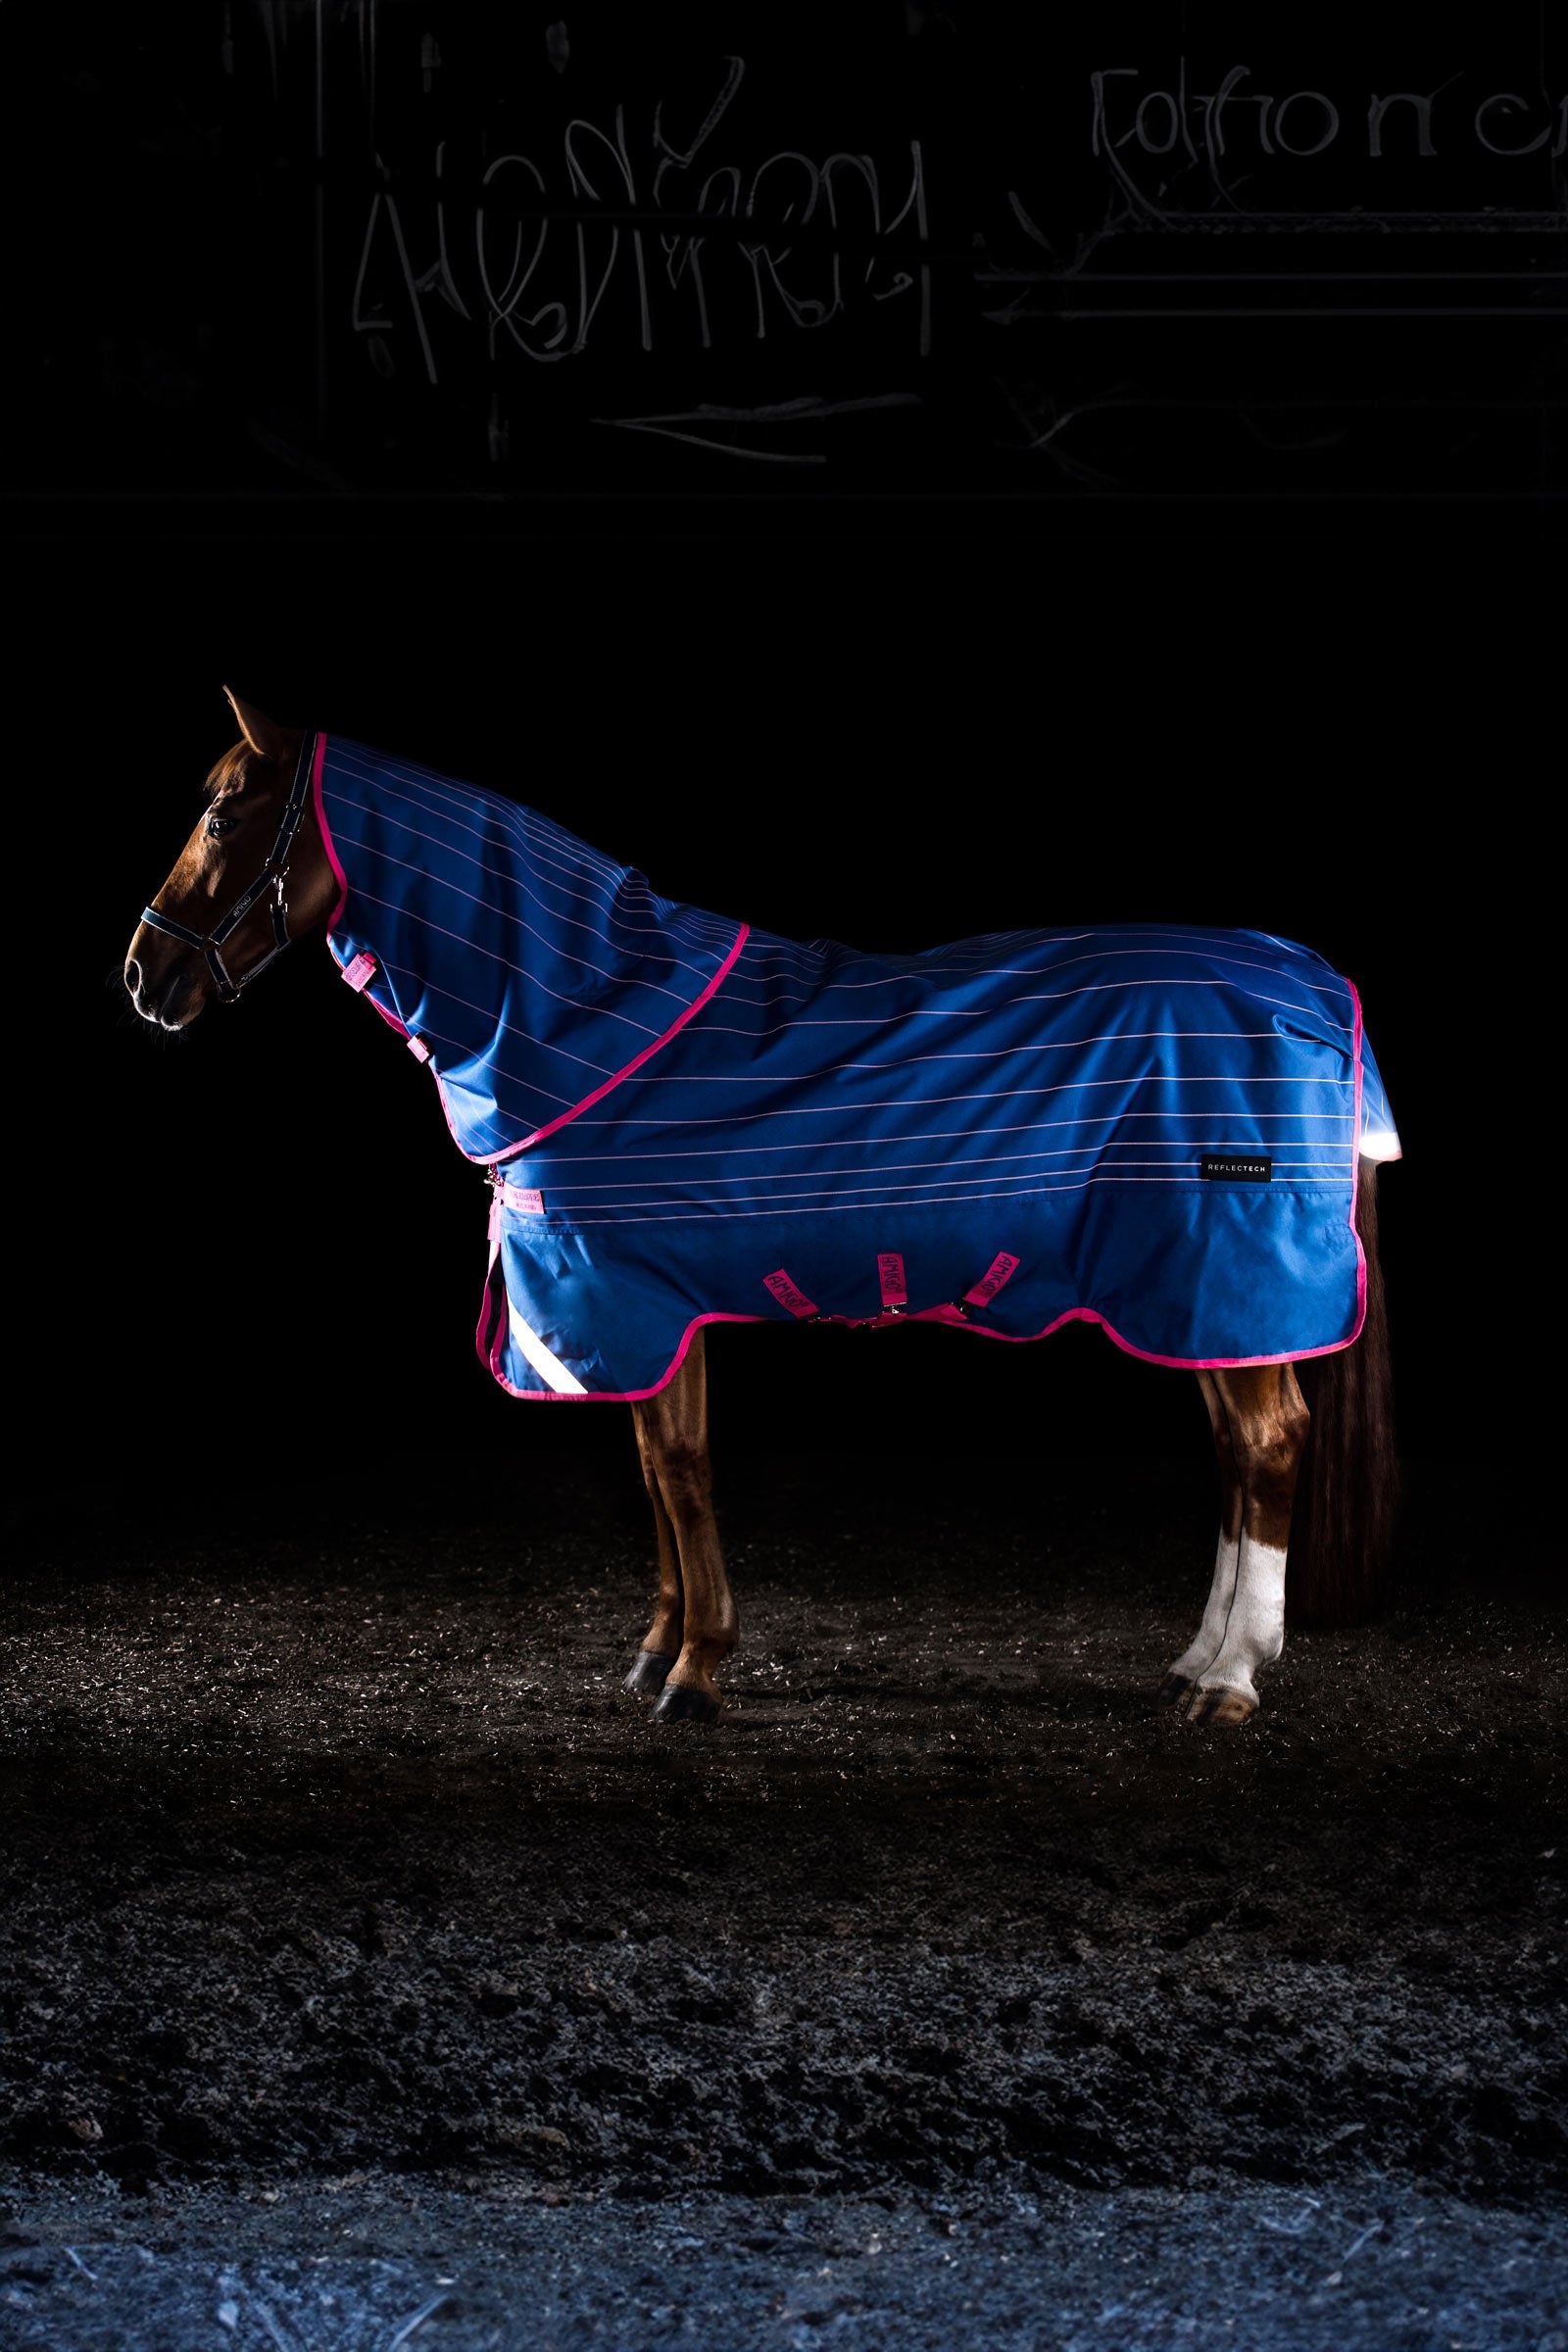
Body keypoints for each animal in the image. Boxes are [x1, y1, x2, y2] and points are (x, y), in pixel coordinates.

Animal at [124, 691, 1400, 1731]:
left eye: (228, 814)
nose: (144, 977)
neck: (594, 1018)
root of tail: (1312, 984)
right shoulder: (630, 1314)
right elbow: (652, 1468)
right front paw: (658, 1651)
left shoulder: (632, 1297)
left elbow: (680, 1467)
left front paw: (696, 1673)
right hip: (1199, 1300)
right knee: (1240, 1454)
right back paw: (1197, 1662)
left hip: (1220, 1278)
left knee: (1266, 1447)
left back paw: (1229, 1681)